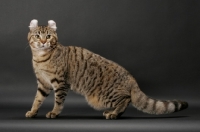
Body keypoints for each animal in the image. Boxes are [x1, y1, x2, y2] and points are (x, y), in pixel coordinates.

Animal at [25, 19, 188, 119]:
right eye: (37, 36)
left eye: (48, 36)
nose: (43, 42)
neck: (40, 58)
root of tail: (132, 79)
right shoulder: (43, 83)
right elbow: (37, 99)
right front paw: (33, 111)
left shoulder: (60, 83)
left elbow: (58, 101)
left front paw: (54, 112)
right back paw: (113, 112)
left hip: (104, 95)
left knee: (125, 100)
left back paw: (114, 114)